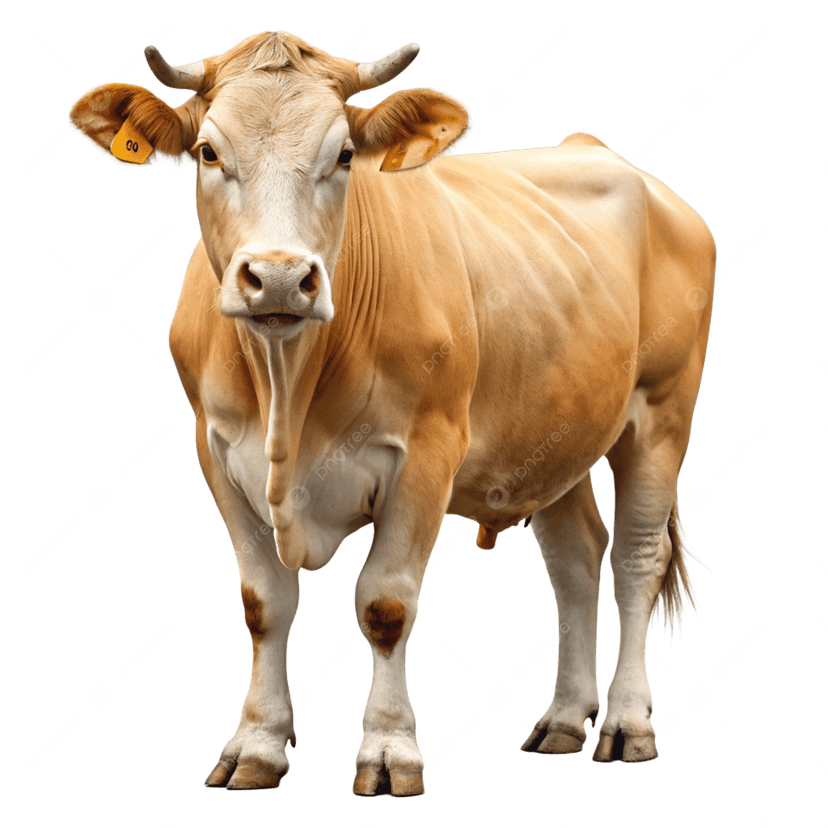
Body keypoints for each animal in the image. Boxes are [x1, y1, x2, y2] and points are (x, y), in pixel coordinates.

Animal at [68, 29, 715, 796]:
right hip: (558, 429)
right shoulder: (218, 454)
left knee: (637, 558)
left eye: (346, 154)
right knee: (576, 559)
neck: (289, 391)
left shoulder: (425, 456)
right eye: (207, 152)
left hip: (661, 411)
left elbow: (385, 603)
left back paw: (626, 722)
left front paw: (389, 751)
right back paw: (562, 718)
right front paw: (257, 744)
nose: (280, 277)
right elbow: (264, 603)